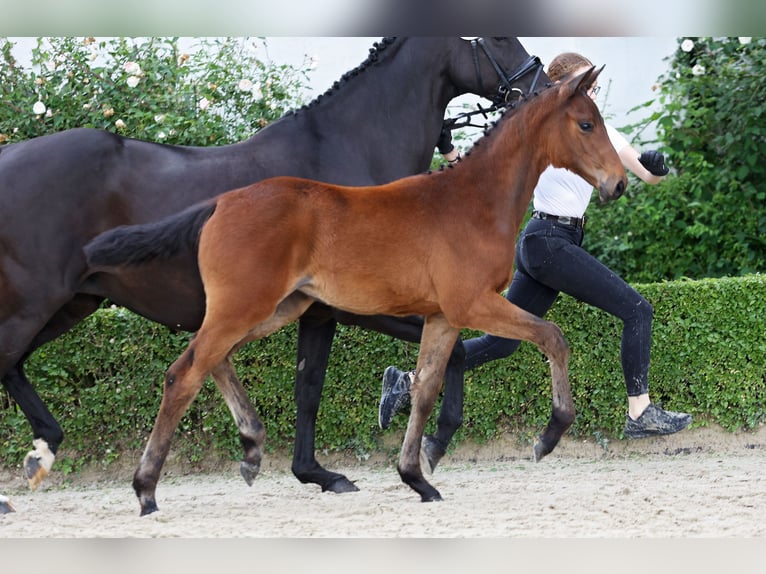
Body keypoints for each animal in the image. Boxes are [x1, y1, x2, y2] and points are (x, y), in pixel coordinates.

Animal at [0, 37, 548, 512]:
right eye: (499, 37)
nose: (543, 85)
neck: (350, 150)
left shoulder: (321, 311)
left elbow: (310, 388)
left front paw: (319, 472)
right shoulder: (356, 308)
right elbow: (448, 355)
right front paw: (432, 443)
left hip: (71, 304)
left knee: (14, 366)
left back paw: (42, 451)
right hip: (35, 304)